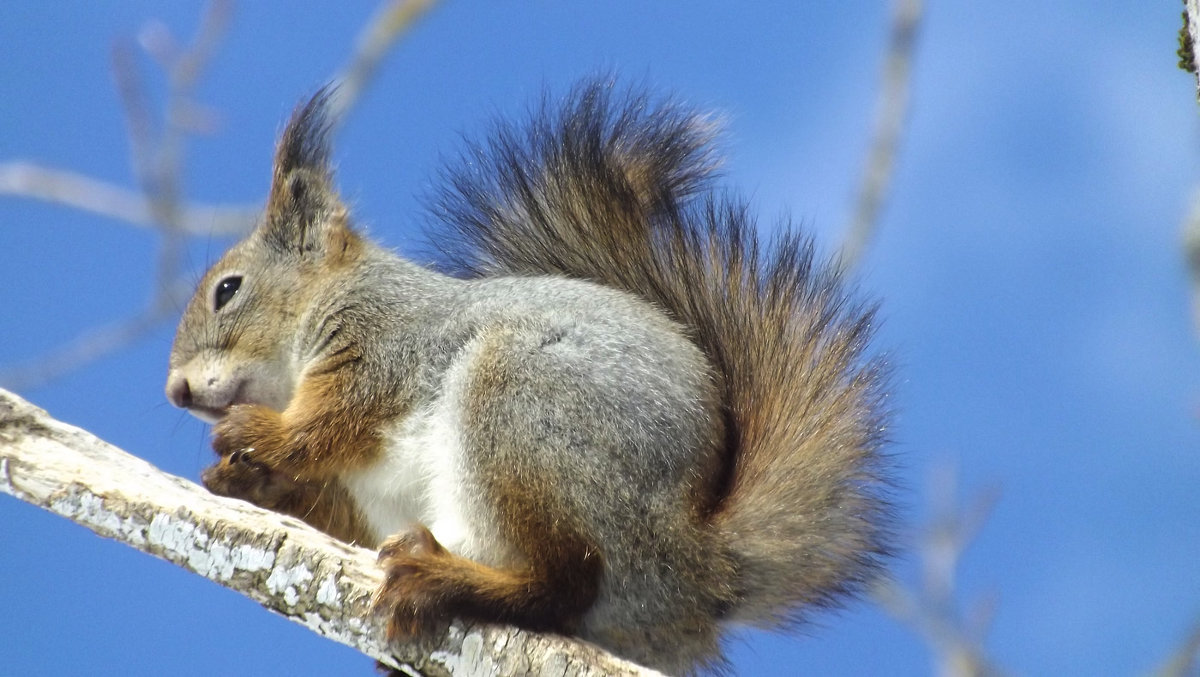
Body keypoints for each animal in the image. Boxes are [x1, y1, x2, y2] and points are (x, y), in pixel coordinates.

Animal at [164, 82, 892, 672]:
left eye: (227, 290)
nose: (175, 391)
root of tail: (691, 571)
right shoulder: (365, 495)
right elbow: (336, 509)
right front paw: (247, 481)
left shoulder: (382, 346)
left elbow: (329, 423)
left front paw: (257, 435)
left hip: (516, 410)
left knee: (563, 583)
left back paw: (442, 579)